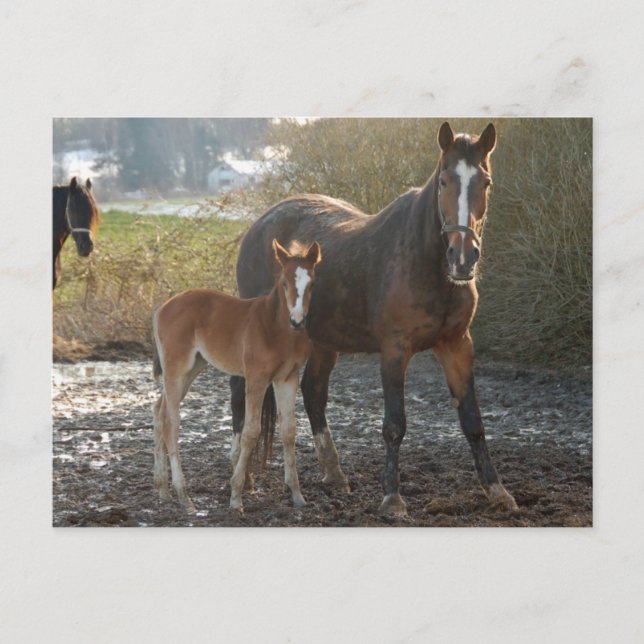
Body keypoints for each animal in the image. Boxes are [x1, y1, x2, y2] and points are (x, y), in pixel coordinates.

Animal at [152, 239, 322, 512]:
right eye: (284, 283)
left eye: (312, 284)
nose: (297, 320)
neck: (275, 328)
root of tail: (162, 307)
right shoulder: (256, 378)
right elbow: (251, 432)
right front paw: (236, 496)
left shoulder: (287, 378)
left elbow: (289, 431)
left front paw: (297, 494)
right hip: (176, 367)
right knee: (170, 421)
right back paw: (183, 496)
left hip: (192, 368)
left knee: (159, 411)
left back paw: (162, 490)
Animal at [232, 121, 518, 516]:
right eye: (445, 180)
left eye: (485, 182)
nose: (463, 257)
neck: (425, 264)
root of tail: (260, 226)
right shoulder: (394, 350)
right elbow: (394, 423)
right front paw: (392, 497)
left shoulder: (457, 345)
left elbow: (472, 421)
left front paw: (497, 490)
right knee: (240, 390)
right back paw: (241, 477)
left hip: (324, 341)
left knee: (314, 392)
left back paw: (334, 473)